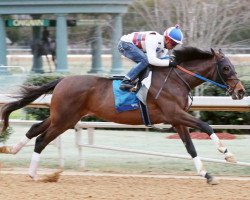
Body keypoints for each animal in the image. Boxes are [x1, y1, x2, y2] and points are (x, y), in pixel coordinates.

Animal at [0, 47, 246, 184]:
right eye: (226, 68)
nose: (241, 91)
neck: (177, 79)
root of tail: (62, 80)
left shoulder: (177, 120)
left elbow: (190, 147)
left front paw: (207, 175)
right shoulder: (175, 113)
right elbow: (206, 126)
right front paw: (228, 154)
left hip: (63, 117)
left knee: (34, 130)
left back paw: (12, 150)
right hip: (65, 120)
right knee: (41, 140)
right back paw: (33, 174)